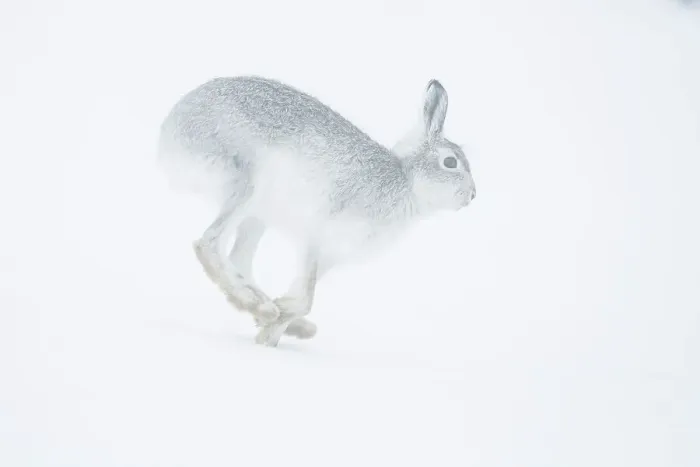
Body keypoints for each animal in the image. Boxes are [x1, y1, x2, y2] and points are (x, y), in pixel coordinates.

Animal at [157, 76, 476, 347]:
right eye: (450, 162)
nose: (472, 195)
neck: (406, 181)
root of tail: (169, 135)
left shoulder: (332, 255)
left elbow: (300, 298)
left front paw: (272, 335)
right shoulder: (318, 235)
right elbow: (306, 299)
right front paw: (272, 330)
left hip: (257, 216)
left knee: (238, 259)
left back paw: (276, 315)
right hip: (246, 184)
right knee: (208, 244)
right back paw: (260, 307)